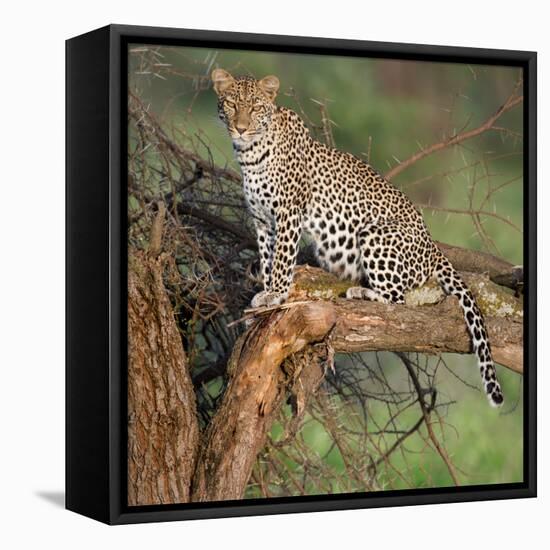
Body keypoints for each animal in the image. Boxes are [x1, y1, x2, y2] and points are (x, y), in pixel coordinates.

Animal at [213, 67, 506, 408]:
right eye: (232, 104)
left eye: (256, 107)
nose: (241, 128)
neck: (250, 154)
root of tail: (433, 248)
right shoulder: (262, 220)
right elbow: (268, 254)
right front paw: (263, 293)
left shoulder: (288, 212)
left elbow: (282, 260)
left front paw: (275, 294)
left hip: (373, 234)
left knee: (399, 300)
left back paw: (362, 292)